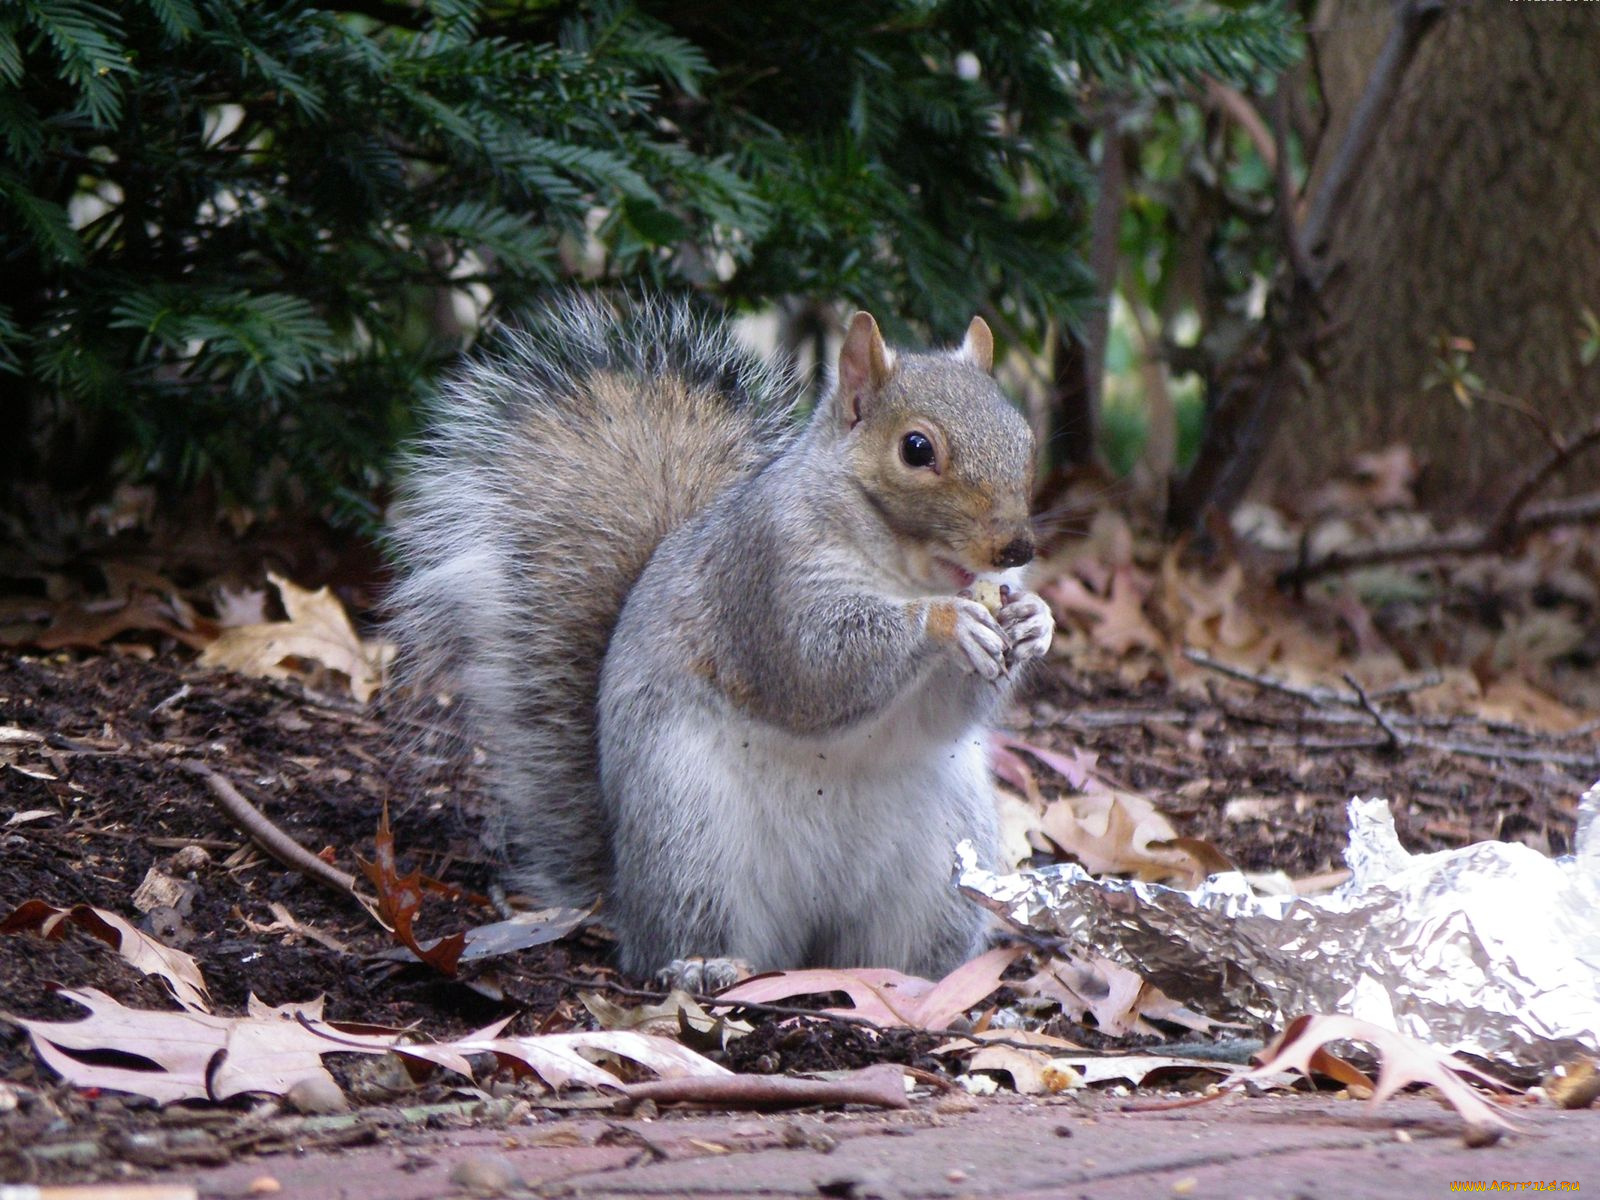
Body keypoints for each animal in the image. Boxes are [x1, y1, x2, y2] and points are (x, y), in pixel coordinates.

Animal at [390, 296, 1049, 992]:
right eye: (916, 449)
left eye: (1025, 439)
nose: (1016, 548)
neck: (904, 571)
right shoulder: (763, 580)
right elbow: (815, 668)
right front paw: (945, 623)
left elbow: (949, 712)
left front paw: (1034, 620)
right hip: (689, 833)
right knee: (681, 929)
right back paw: (702, 965)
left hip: (947, 856)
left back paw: (924, 983)